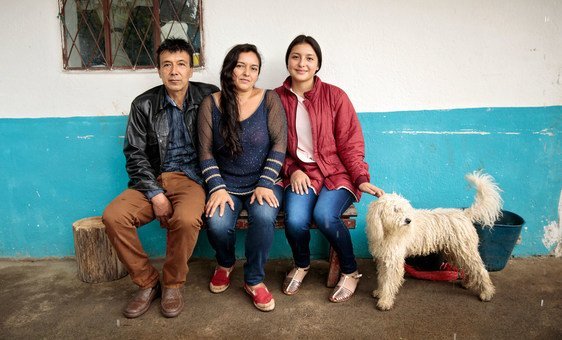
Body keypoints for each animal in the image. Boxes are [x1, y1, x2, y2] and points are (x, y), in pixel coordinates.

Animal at [366, 173, 500, 310]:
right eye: (395, 210)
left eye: (404, 209)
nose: (408, 220)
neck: (386, 232)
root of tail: (464, 214)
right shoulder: (384, 258)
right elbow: (383, 278)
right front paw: (380, 292)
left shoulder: (393, 260)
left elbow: (389, 281)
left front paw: (385, 301)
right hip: (455, 252)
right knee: (468, 268)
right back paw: (467, 283)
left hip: (465, 250)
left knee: (480, 270)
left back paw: (487, 292)